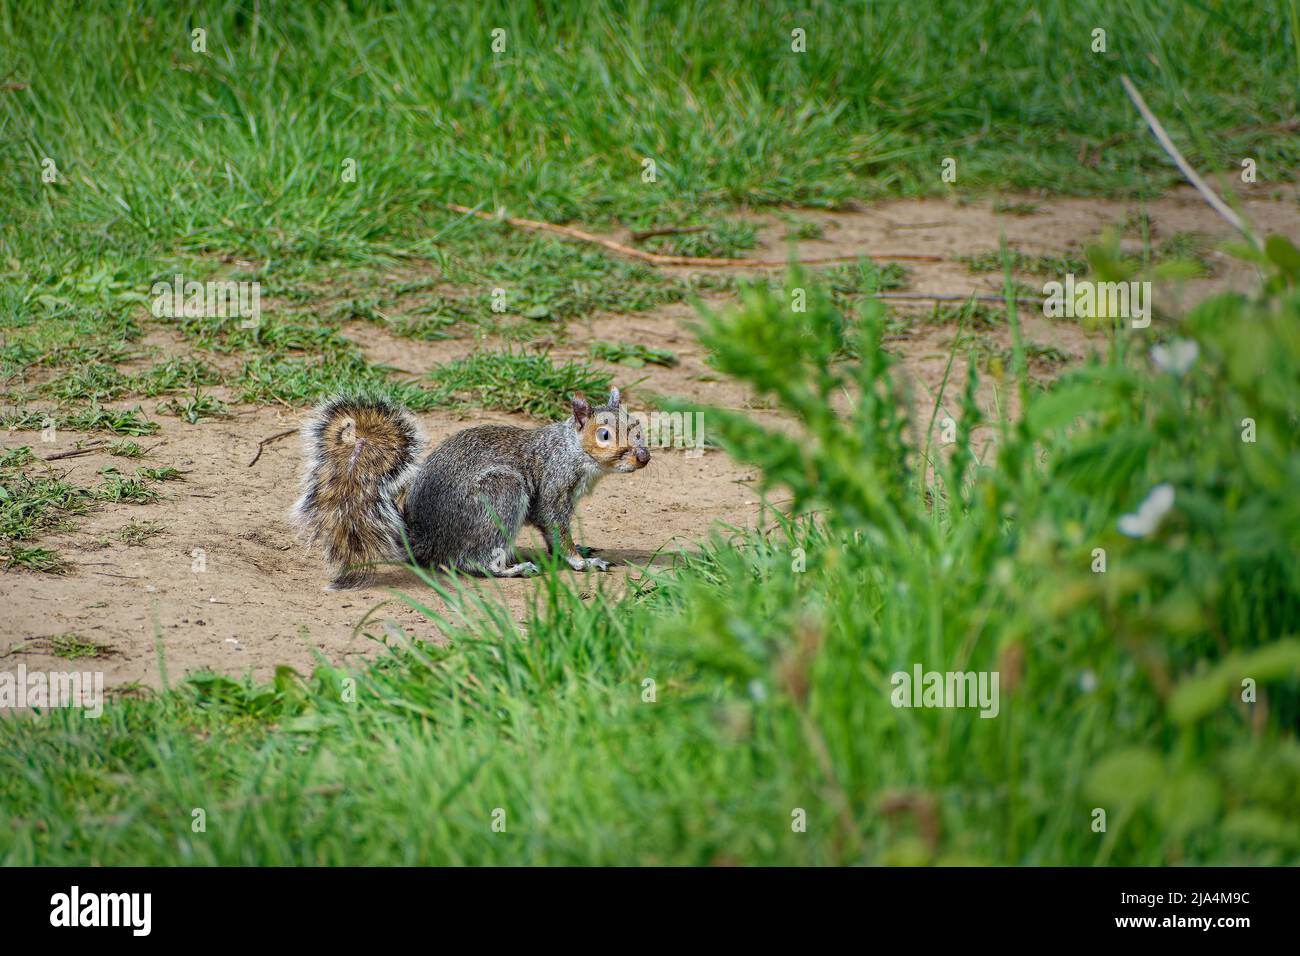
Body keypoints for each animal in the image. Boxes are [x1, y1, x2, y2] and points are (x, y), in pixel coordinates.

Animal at [287, 390, 647, 590]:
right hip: (500, 494)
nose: (642, 456)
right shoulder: (554, 488)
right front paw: (581, 562)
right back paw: (512, 569)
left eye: (636, 426)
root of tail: (426, 539)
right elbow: (556, 529)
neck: (573, 450)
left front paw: (580, 551)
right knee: (474, 562)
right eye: (603, 435)